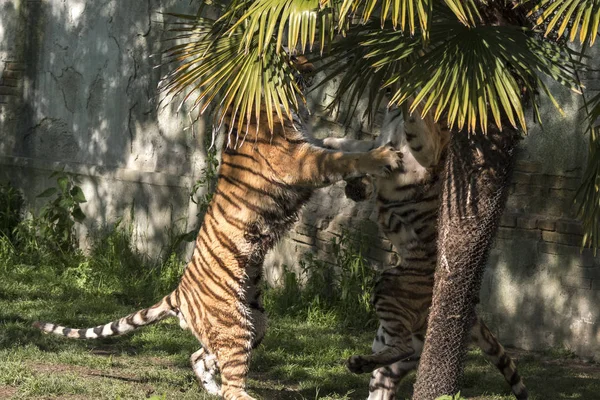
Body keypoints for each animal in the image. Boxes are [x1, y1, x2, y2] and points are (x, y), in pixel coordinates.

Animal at [30, 79, 400, 398]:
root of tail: (178, 292)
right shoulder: (300, 160)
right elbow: (342, 157)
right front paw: (383, 157)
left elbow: (339, 146)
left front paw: (362, 184)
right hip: (234, 323)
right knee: (232, 382)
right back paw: (234, 393)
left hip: (254, 322)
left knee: (201, 357)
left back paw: (213, 388)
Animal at [322, 104, 528, 400]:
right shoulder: (378, 142)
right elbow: (359, 146)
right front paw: (330, 141)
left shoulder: (427, 151)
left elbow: (412, 129)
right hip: (392, 348)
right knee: (386, 372)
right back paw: (360, 364)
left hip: (390, 286)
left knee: (402, 346)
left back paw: (356, 363)